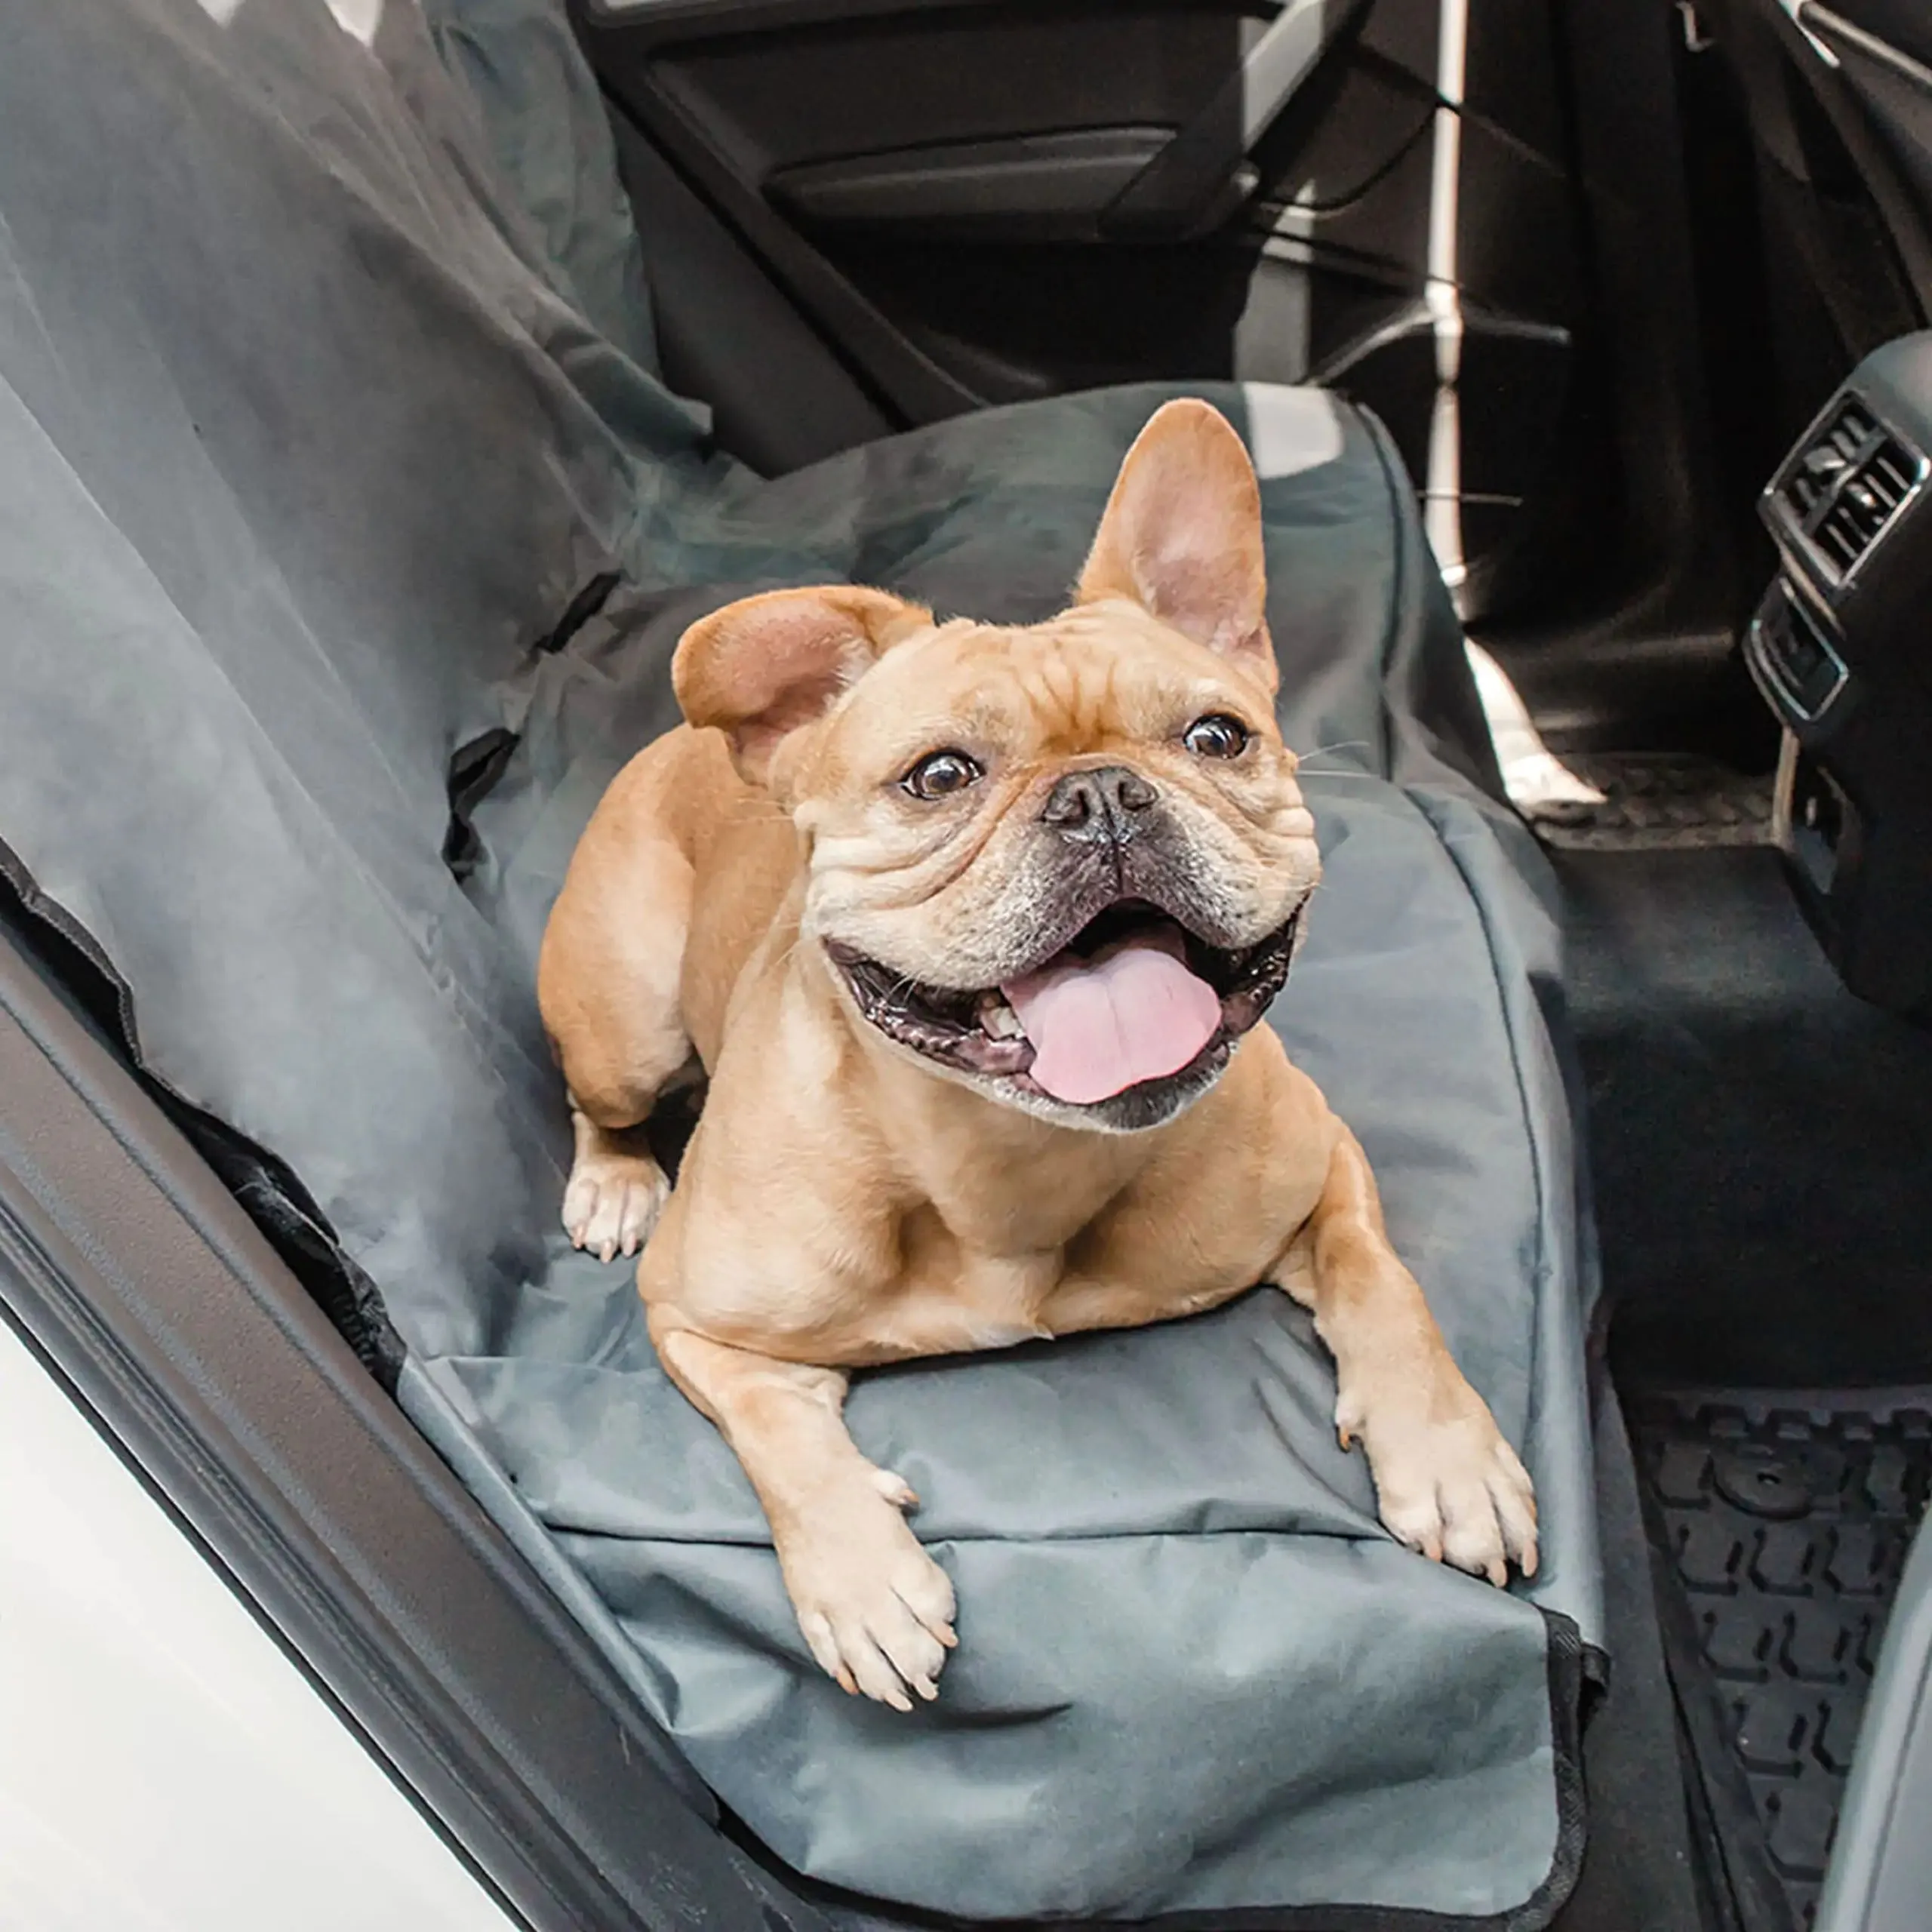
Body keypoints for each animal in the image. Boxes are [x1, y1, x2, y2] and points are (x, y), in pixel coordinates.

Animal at [540, 399, 1537, 1715]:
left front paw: (1447, 1455)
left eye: (1217, 736)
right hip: (628, 1032)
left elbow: (1385, 1285)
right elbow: (785, 1444)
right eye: (940, 776)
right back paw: (614, 1180)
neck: (1009, 1159)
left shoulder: (1322, 1171)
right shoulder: (701, 1327)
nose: (1103, 795)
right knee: (601, 1102)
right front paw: (862, 1578)